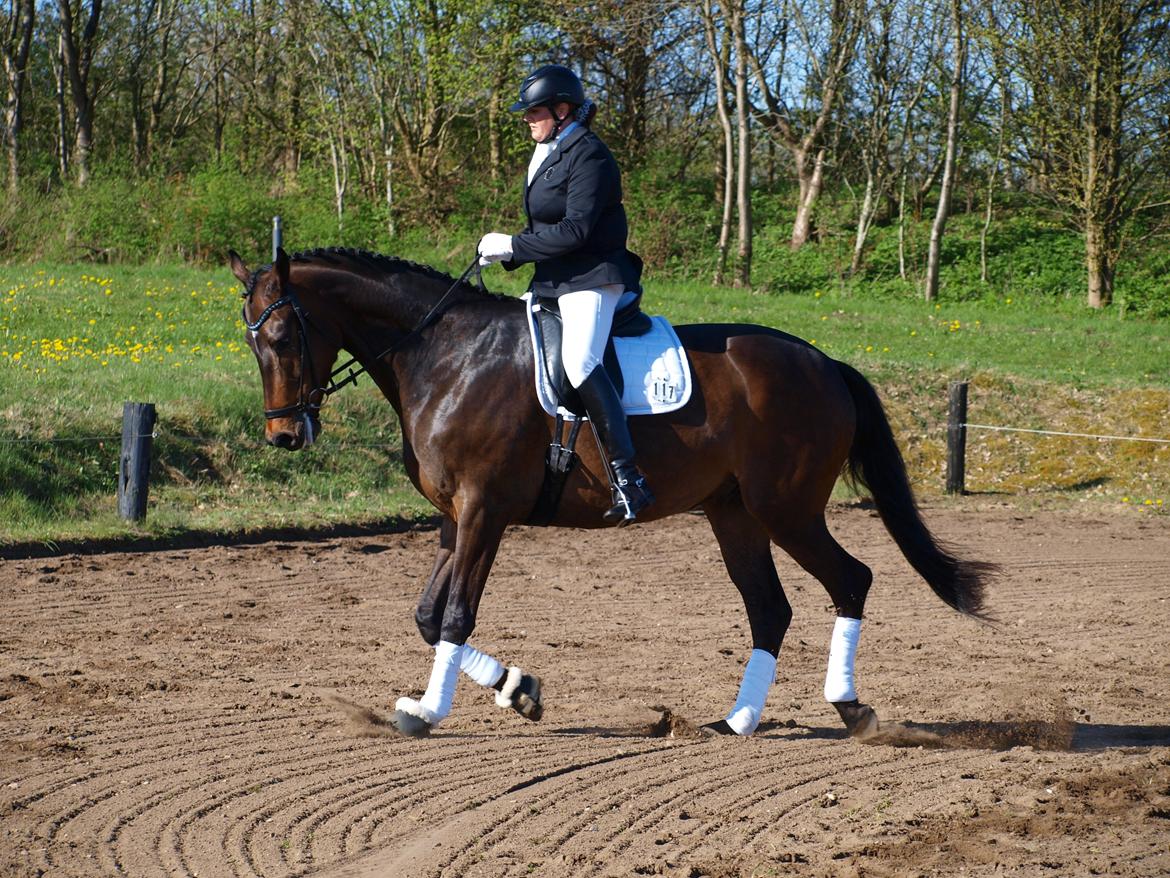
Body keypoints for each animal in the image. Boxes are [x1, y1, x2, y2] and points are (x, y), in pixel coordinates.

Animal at [230, 248, 996, 744]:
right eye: (253, 342)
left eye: (284, 334)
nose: (284, 436)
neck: (447, 357)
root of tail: (825, 363)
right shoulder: (454, 518)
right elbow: (427, 615)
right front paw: (516, 690)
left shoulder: (484, 512)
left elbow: (454, 615)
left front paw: (431, 712)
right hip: (735, 514)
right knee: (769, 609)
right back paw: (735, 722)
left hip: (787, 509)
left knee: (851, 580)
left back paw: (851, 708)